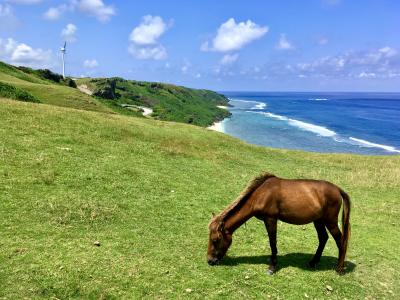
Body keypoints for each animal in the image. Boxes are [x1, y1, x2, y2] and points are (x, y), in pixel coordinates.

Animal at [208, 173, 352, 274]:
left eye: (215, 240)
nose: (210, 261)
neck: (262, 194)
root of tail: (338, 189)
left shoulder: (271, 219)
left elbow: (272, 242)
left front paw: (272, 266)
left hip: (330, 221)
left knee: (340, 240)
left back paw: (339, 269)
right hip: (318, 220)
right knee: (323, 238)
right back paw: (313, 262)